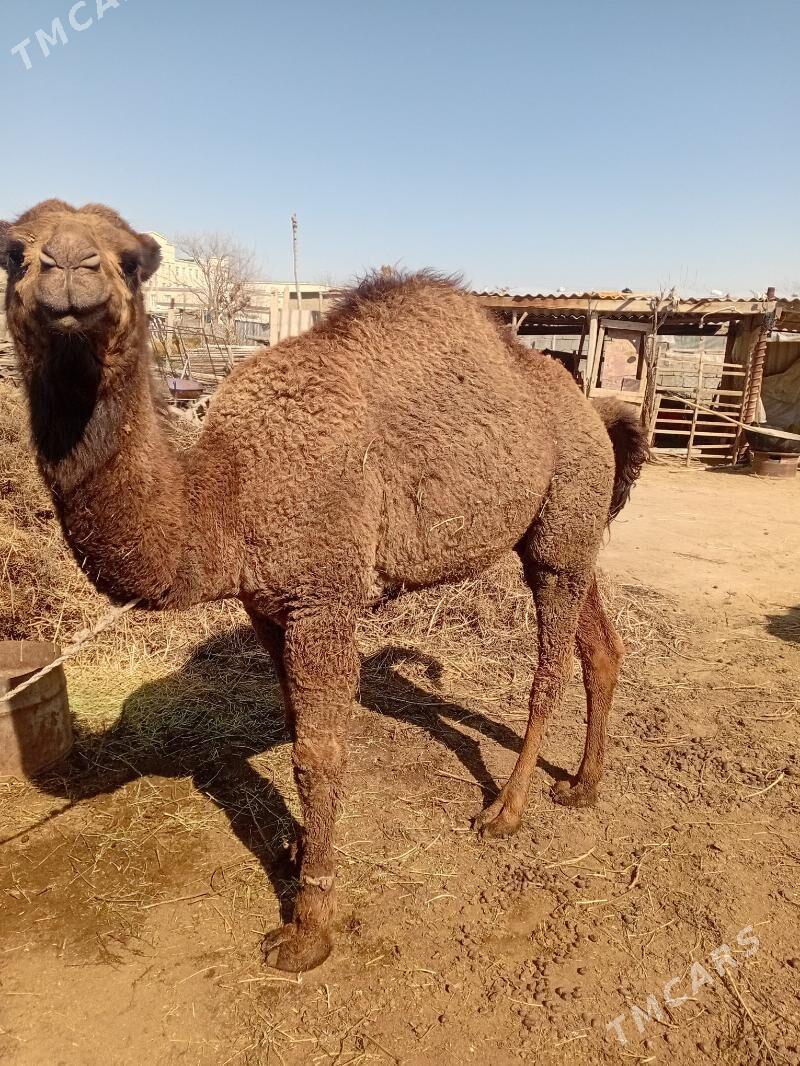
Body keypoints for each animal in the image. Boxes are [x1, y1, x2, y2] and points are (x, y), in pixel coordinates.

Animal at [0, 200, 648, 973]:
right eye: (13, 251)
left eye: (132, 260)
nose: (69, 267)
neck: (225, 490)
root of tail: (592, 412)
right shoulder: (265, 608)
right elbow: (292, 730)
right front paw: (299, 852)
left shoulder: (323, 601)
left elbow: (318, 754)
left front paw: (308, 927)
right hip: (566, 533)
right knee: (600, 647)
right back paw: (582, 785)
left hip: (559, 525)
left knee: (548, 666)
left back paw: (506, 811)